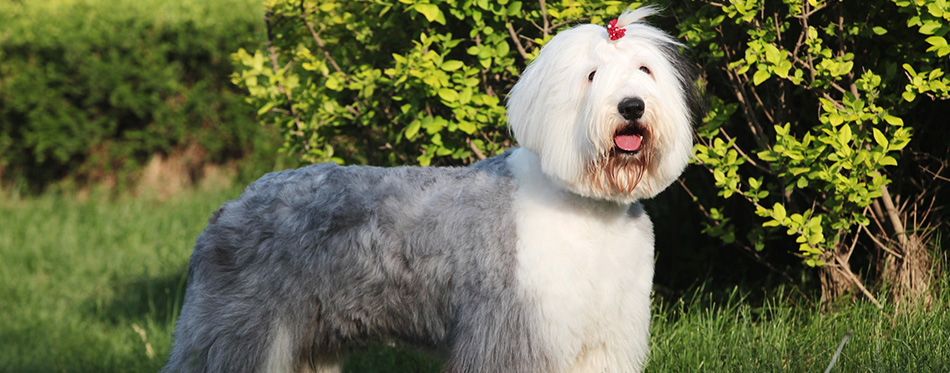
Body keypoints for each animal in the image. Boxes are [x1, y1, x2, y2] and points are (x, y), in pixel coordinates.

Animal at [164, 6, 696, 372]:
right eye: (591, 75)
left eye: (645, 71)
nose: (631, 106)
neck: (586, 205)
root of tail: (230, 206)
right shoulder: (514, 332)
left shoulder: (605, 336)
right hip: (239, 331)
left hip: (303, 339)